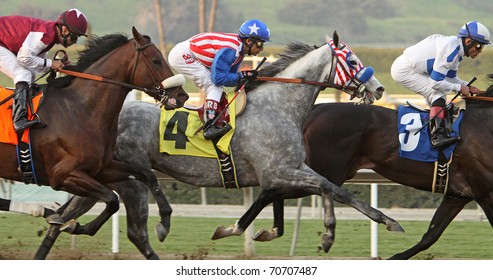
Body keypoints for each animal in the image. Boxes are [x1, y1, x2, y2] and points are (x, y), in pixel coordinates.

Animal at [0, 27, 187, 258]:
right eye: (156, 60)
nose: (182, 96)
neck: (81, 108)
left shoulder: (102, 168)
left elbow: (146, 175)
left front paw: (164, 222)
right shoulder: (63, 175)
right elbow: (112, 199)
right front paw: (73, 225)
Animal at [35, 32, 404, 258]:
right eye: (353, 62)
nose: (379, 89)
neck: (278, 106)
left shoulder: (289, 170)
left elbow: (327, 188)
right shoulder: (280, 172)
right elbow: (332, 188)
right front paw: (369, 226)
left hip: (101, 176)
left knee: (68, 216)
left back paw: (62, 229)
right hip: (120, 178)